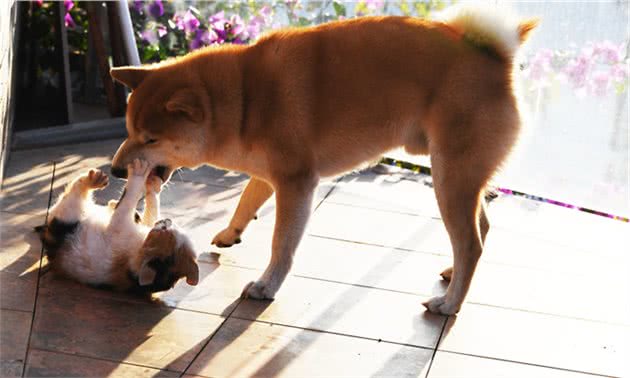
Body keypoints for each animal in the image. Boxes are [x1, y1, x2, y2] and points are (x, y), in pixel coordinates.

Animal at [37, 158, 200, 294]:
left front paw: (139, 171)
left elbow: (129, 198)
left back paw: (95, 180)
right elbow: (151, 209)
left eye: (165, 230)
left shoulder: (118, 224)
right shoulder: (144, 223)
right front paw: (153, 183)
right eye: (167, 227)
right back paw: (106, 192)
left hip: (68, 212)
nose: (166, 221)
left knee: (75, 190)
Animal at [107, 5, 540, 314]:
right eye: (127, 130)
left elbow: (282, 243)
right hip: (459, 177)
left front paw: (267, 286)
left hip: (449, 176)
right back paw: (452, 274)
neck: (245, 97)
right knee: (480, 229)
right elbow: (246, 200)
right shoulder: (270, 174)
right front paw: (231, 232)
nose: (115, 170)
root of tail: (498, 58)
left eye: (150, 138)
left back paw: (450, 303)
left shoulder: (296, 182)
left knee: (471, 243)